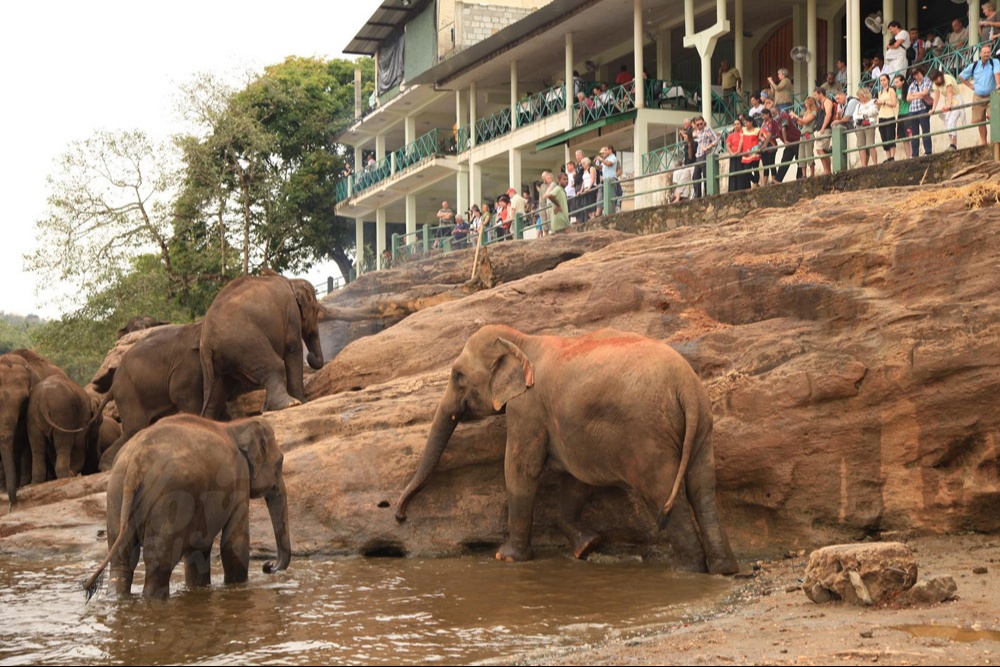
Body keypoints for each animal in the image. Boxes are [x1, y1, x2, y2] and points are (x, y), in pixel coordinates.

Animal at [82, 414, 290, 604]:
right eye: (280, 461)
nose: (268, 566)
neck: (236, 425)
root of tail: (135, 461)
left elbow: (199, 548)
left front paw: (198, 589)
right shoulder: (239, 480)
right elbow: (234, 543)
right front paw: (237, 587)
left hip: (115, 494)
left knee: (122, 562)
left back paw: (118, 599)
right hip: (169, 501)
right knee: (158, 566)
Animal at [201, 272, 326, 418]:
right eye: (317, 310)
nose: (311, 355)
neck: (291, 281)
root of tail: (206, 343)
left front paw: (265, 409)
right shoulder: (291, 314)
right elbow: (293, 349)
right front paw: (303, 401)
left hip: (216, 362)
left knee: (217, 391)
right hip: (246, 343)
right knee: (276, 366)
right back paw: (291, 403)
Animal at [394, 324, 740, 576]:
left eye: (457, 376)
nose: (400, 516)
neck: (521, 340)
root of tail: (687, 387)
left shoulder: (527, 408)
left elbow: (521, 469)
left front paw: (506, 558)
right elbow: (578, 477)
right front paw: (587, 546)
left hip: (648, 434)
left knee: (664, 493)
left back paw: (686, 571)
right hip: (701, 426)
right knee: (703, 488)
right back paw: (725, 570)